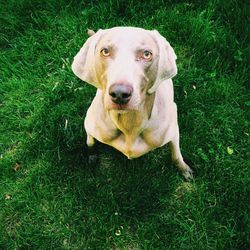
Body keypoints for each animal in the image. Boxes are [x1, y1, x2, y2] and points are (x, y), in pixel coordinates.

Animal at [71, 26, 192, 180]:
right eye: (105, 51)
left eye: (147, 54)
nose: (119, 94)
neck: (129, 124)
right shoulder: (93, 125)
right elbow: (90, 140)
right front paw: (91, 154)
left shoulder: (173, 131)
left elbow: (175, 153)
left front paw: (183, 168)